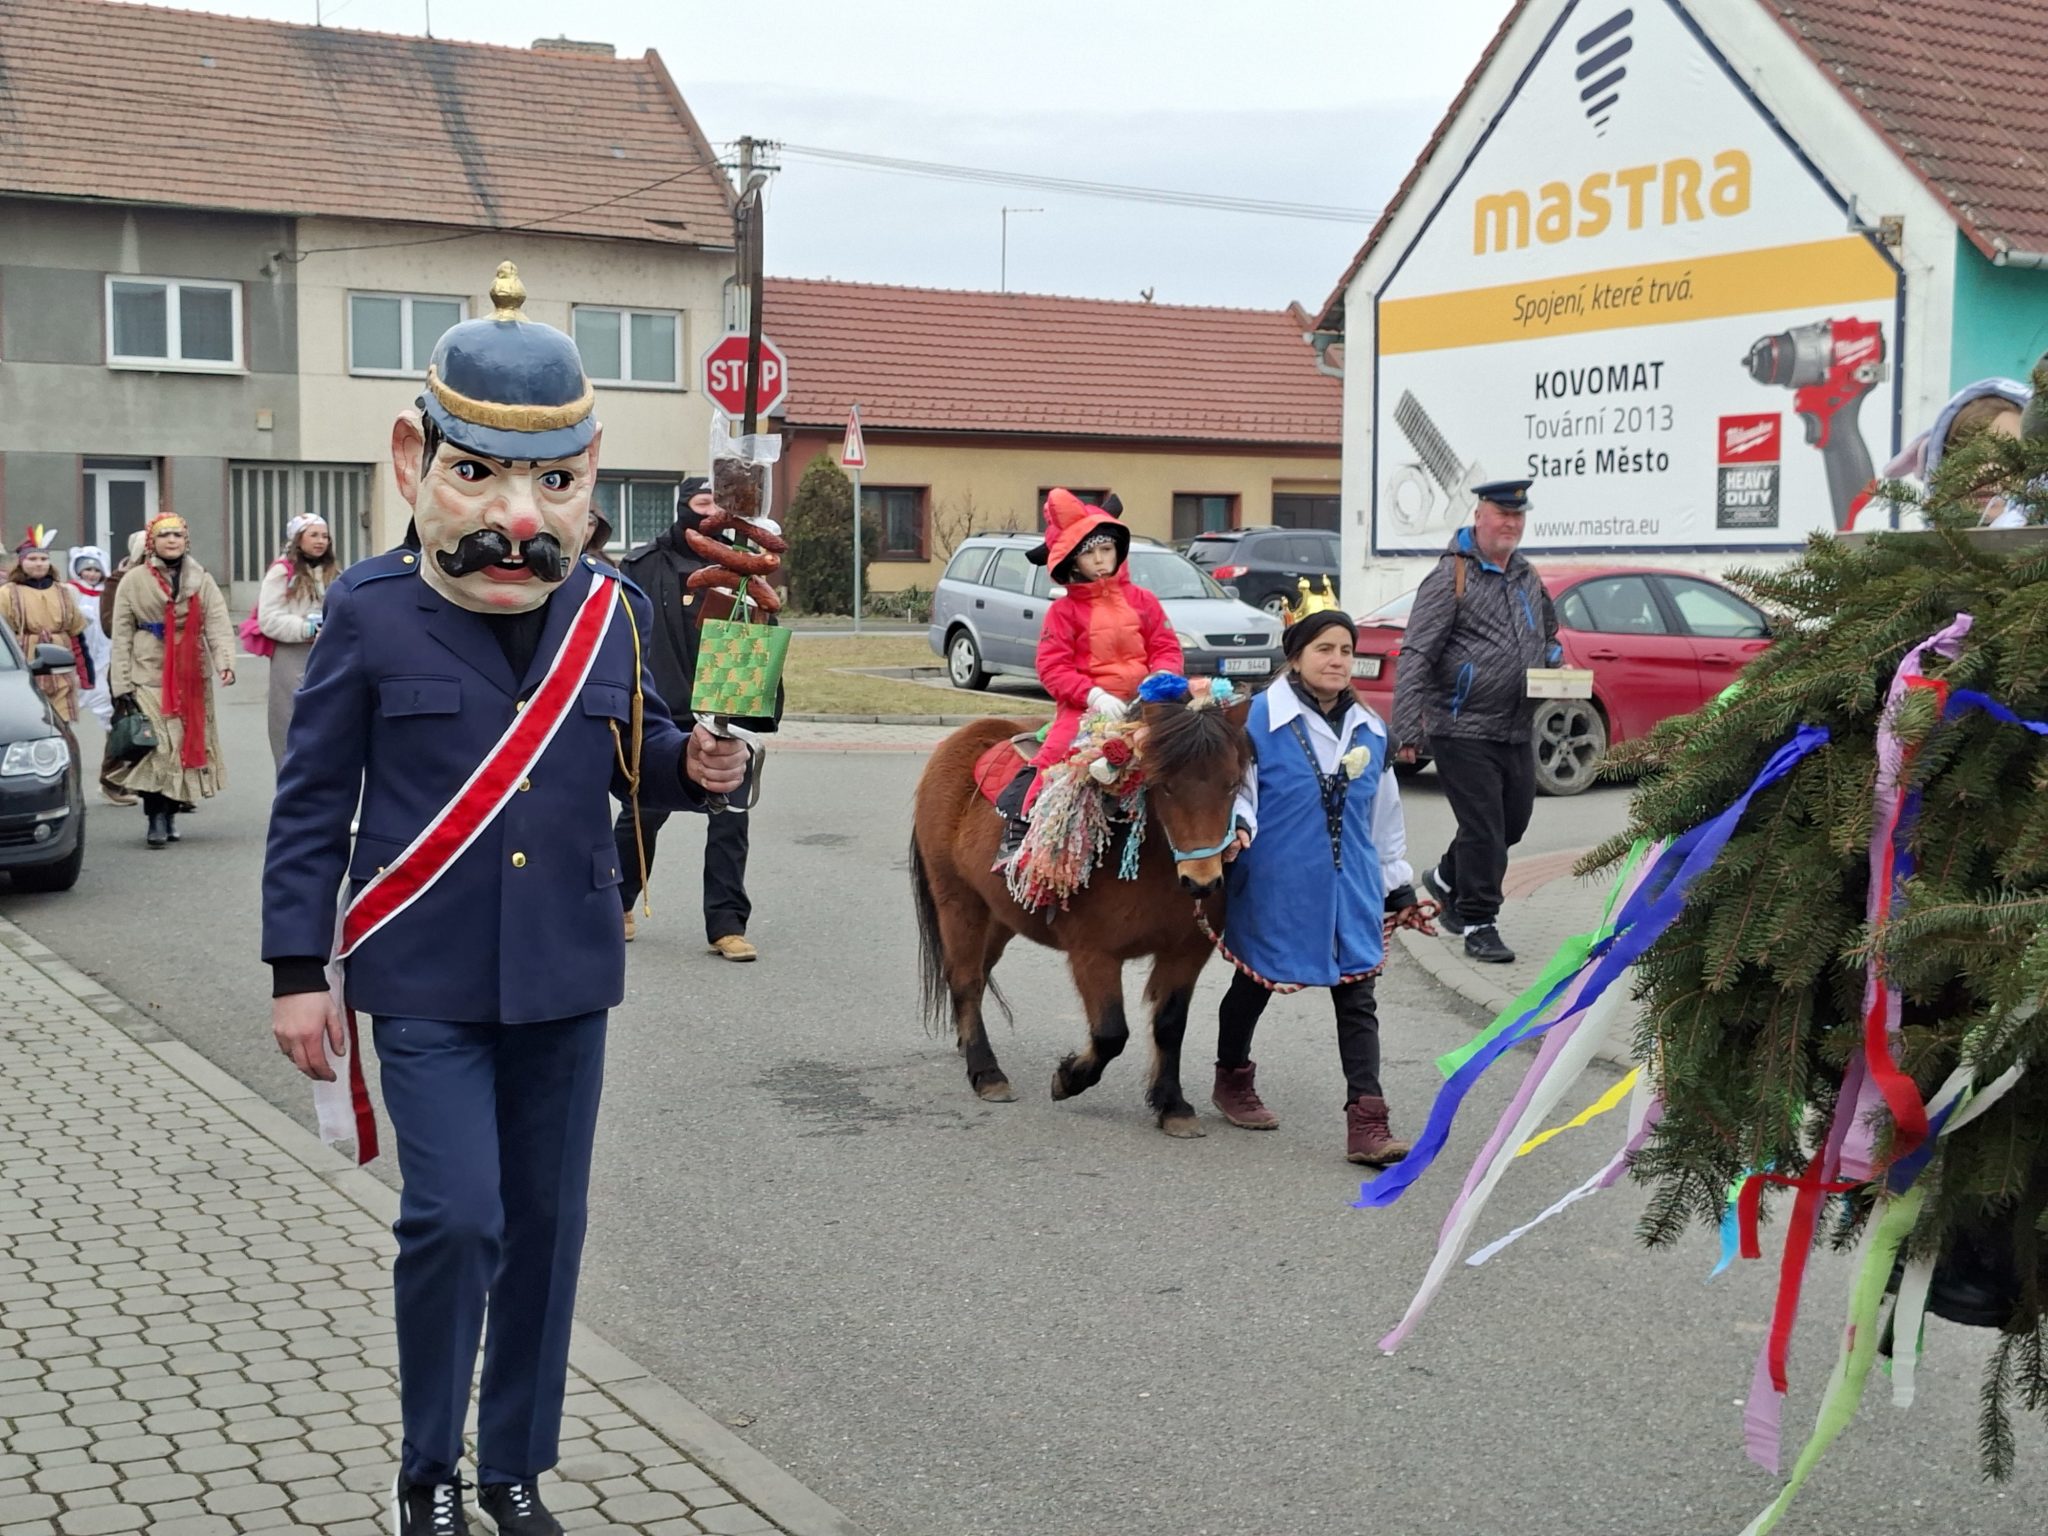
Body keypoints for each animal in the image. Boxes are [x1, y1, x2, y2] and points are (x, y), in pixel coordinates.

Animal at [908, 694, 1253, 1136]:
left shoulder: (1185, 953)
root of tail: (963, 737)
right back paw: (987, 1073)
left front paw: (1172, 1106)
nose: (1202, 882)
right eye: (1166, 786)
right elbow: (1110, 1033)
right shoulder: (1094, 954)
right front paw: (1068, 1078)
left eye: (1231, 784)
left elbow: (1169, 1025)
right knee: (965, 978)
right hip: (958, 900)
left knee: (978, 973)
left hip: (999, 915)